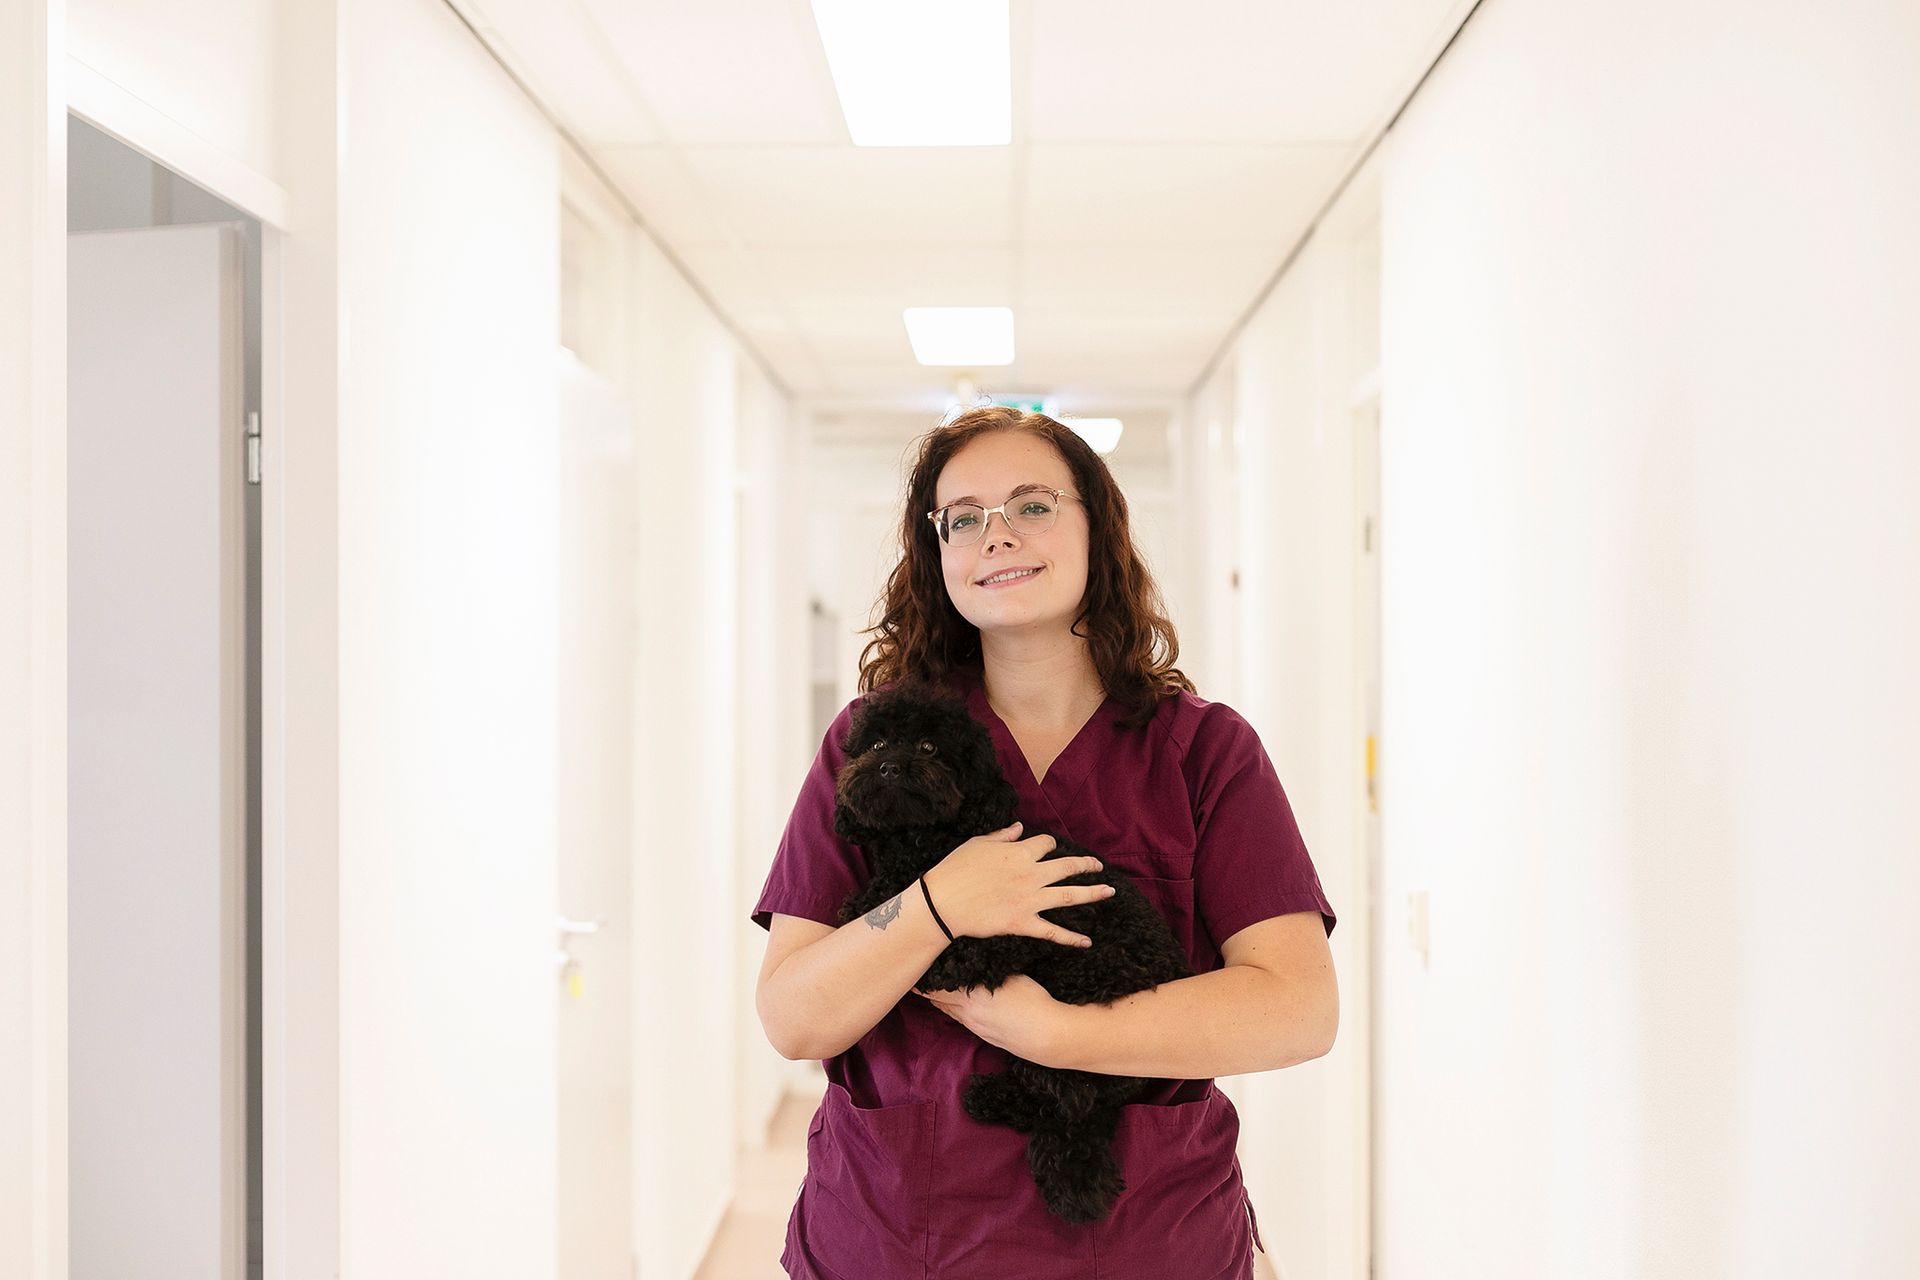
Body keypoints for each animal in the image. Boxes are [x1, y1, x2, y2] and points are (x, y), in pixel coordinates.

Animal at [833, 679, 1190, 1220]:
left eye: (929, 746)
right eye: (875, 743)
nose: (890, 767)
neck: (928, 844)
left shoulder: (1021, 929)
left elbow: (960, 954)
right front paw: (866, 905)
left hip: (1082, 984)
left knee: (1073, 1094)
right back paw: (993, 1097)